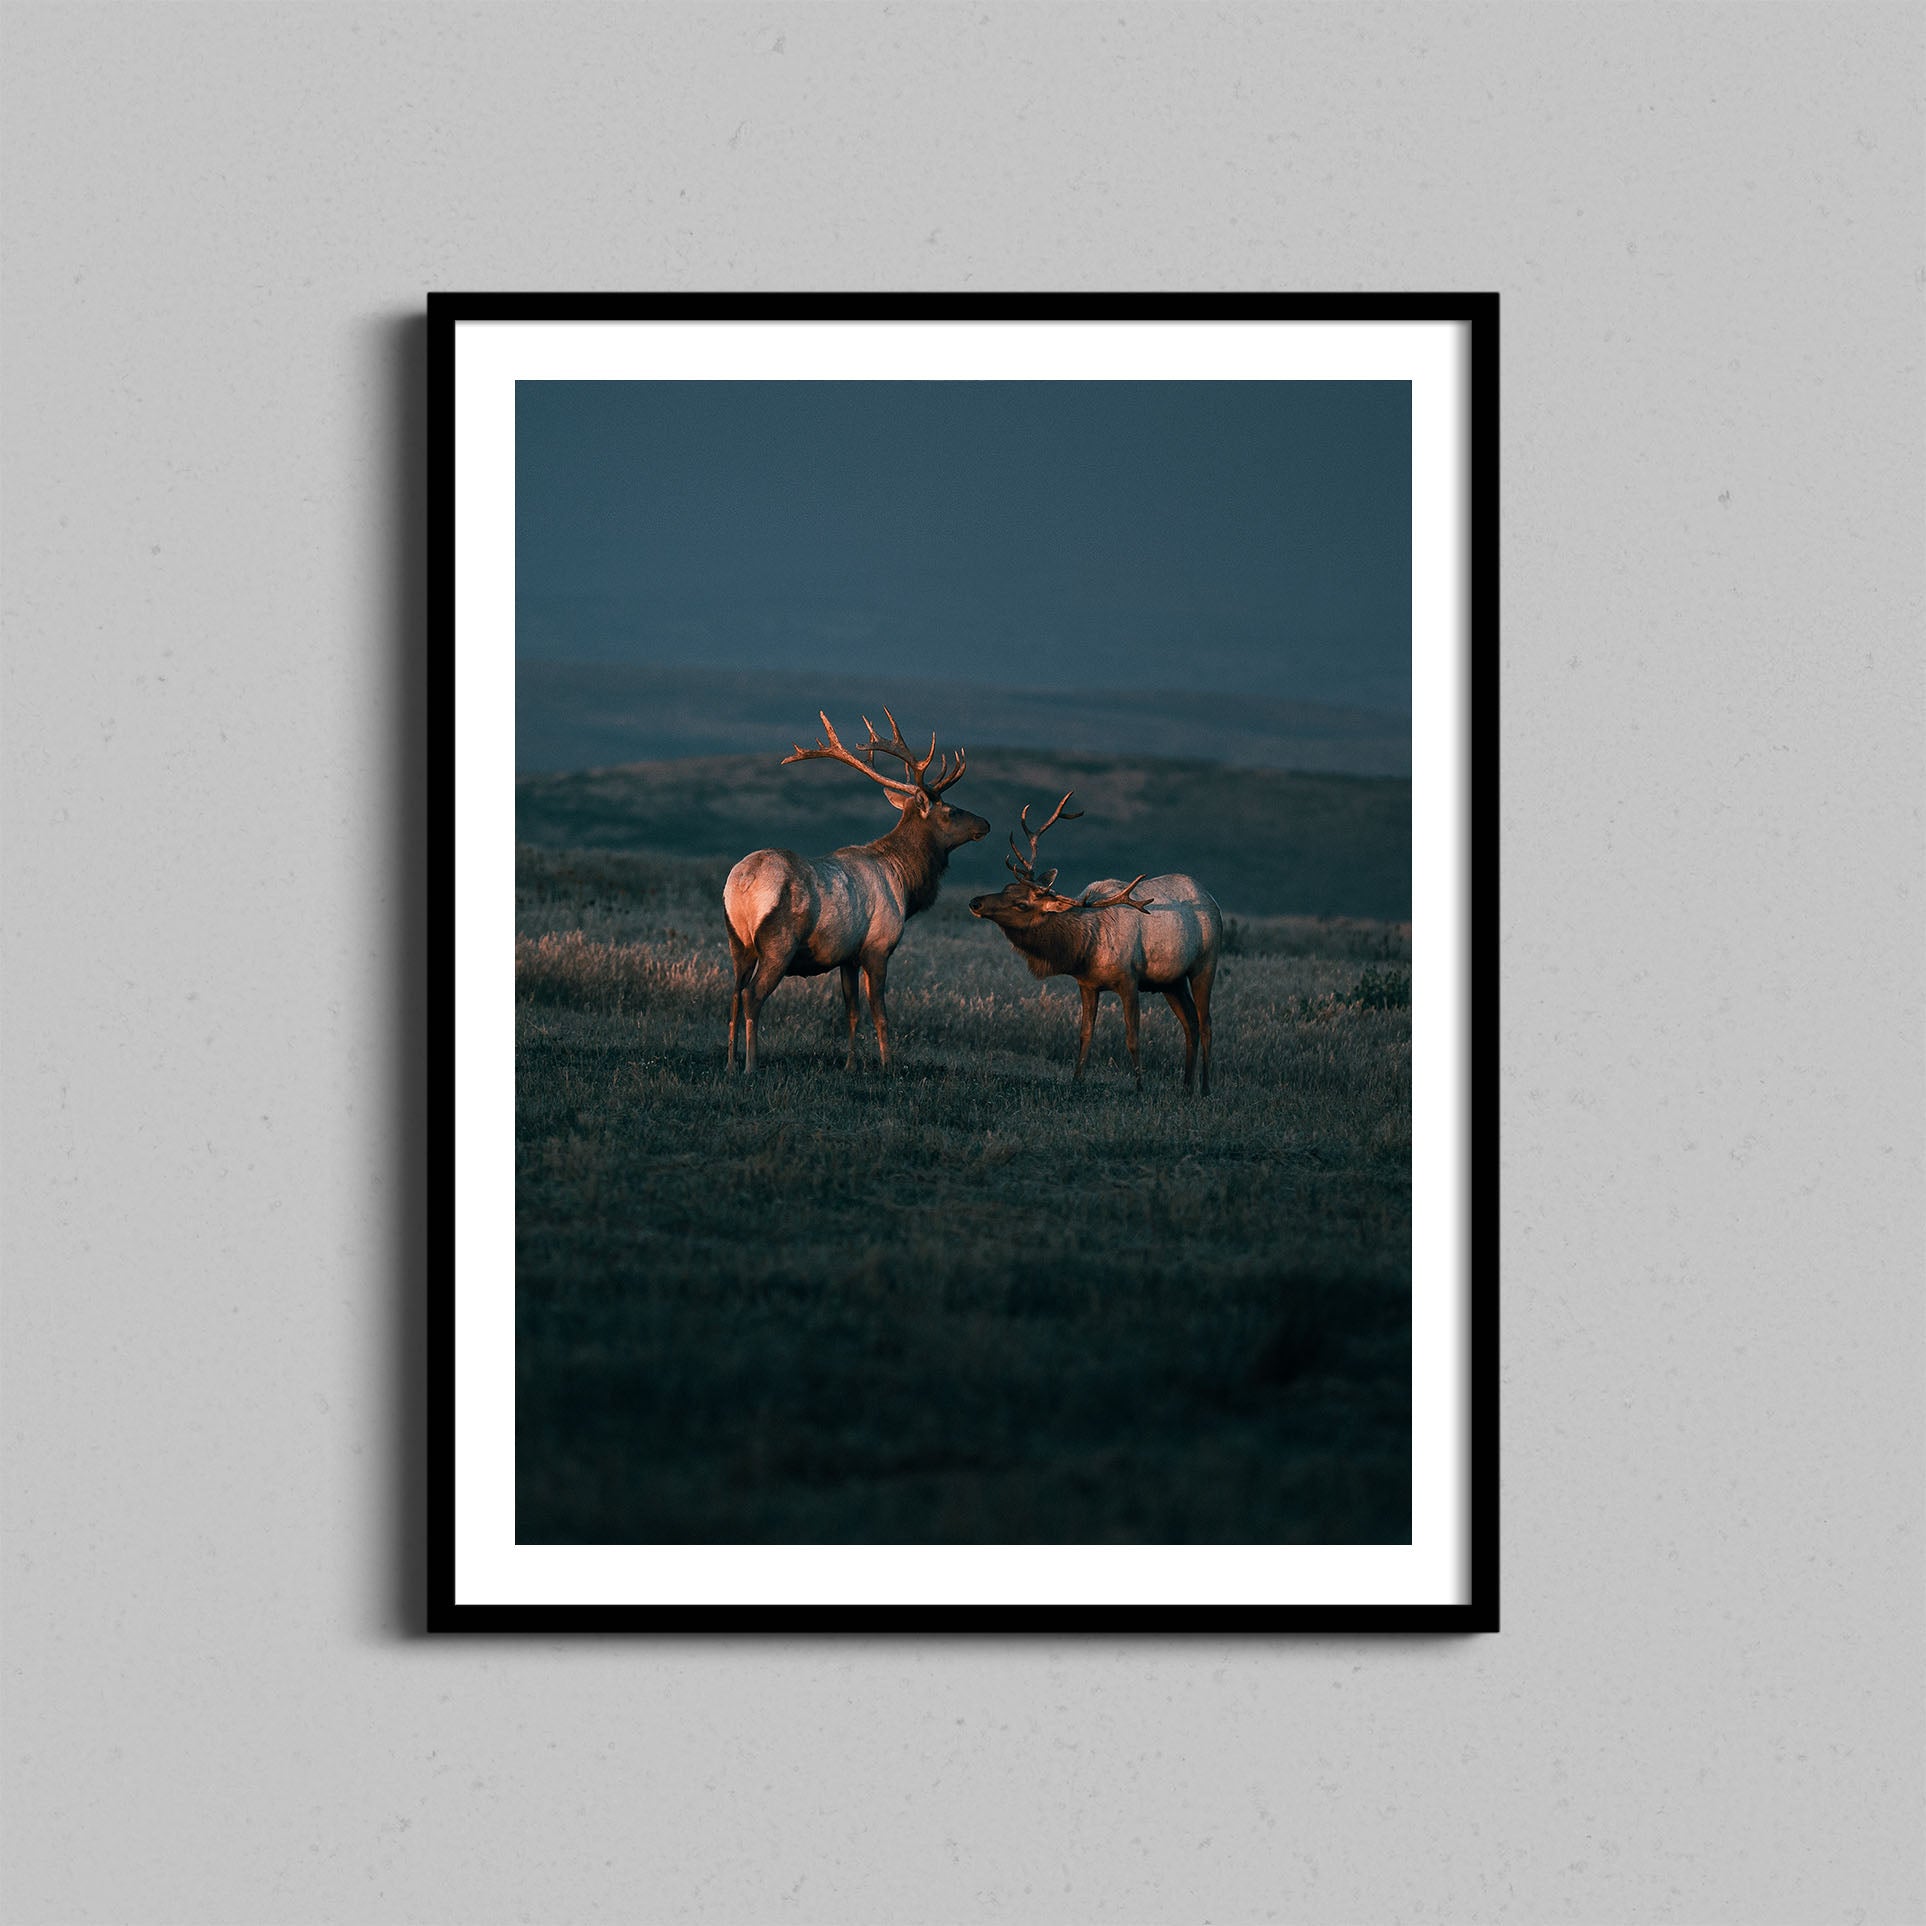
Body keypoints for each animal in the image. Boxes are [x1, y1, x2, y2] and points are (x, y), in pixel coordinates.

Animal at [723, 710, 989, 1074]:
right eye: (951, 811)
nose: (986, 824)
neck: (905, 883)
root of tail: (742, 883)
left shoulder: (847, 956)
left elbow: (852, 1011)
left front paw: (850, 1064)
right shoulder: (878, 947)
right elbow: (880, 1013)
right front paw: (887, 1065)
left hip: (738, 942)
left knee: (734, 994)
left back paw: (730, 1063)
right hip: (778, 943)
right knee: (752, 995)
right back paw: (751, 1066)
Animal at [968, 792, 1222, 1092]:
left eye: (1021, 904)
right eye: (1007, 887)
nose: (975, 902)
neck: (1085, 948)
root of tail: (1211, 899)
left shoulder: (1129, 979)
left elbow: (1132, 1037)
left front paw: (1139, 1087)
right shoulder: (1087, 984)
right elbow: (1085, 1033)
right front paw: (1076, 1080)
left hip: (1205, 965)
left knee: (1206, 1024)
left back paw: (1204, 1089)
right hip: (1171, 981)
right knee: (1190, 1023)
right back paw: (1185, 1088)